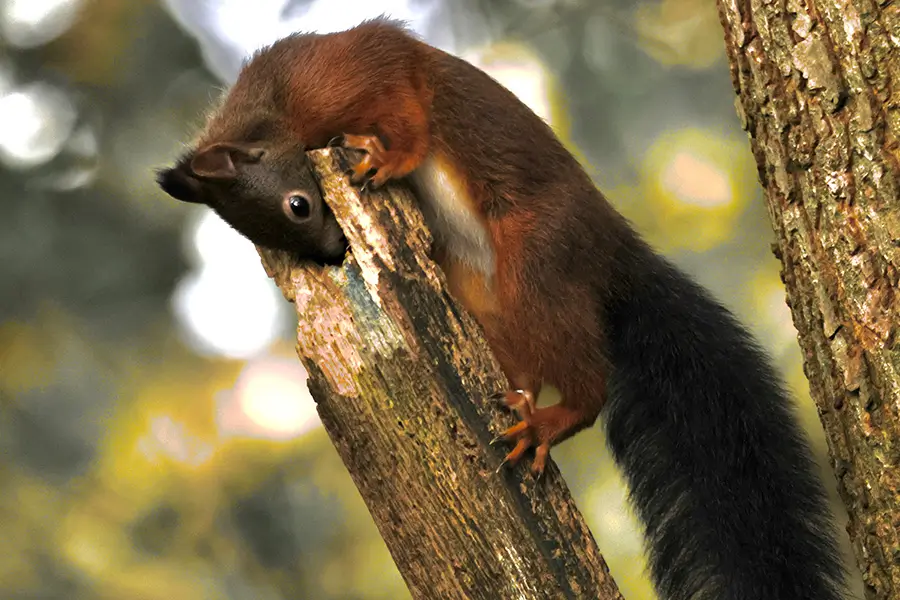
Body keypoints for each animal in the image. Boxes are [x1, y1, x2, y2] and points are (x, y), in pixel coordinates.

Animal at [157, 18, 848, 600]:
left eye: (298, 205)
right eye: (275, 244)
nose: (332, 254)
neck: (272, 112)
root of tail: (614, 255)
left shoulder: (353, 69)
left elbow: (406, 104)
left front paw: (390, 157)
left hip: (539, 259)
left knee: (587, 379)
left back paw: (552, 419)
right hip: (484, 293)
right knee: (524, 357)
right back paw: (519, 396)